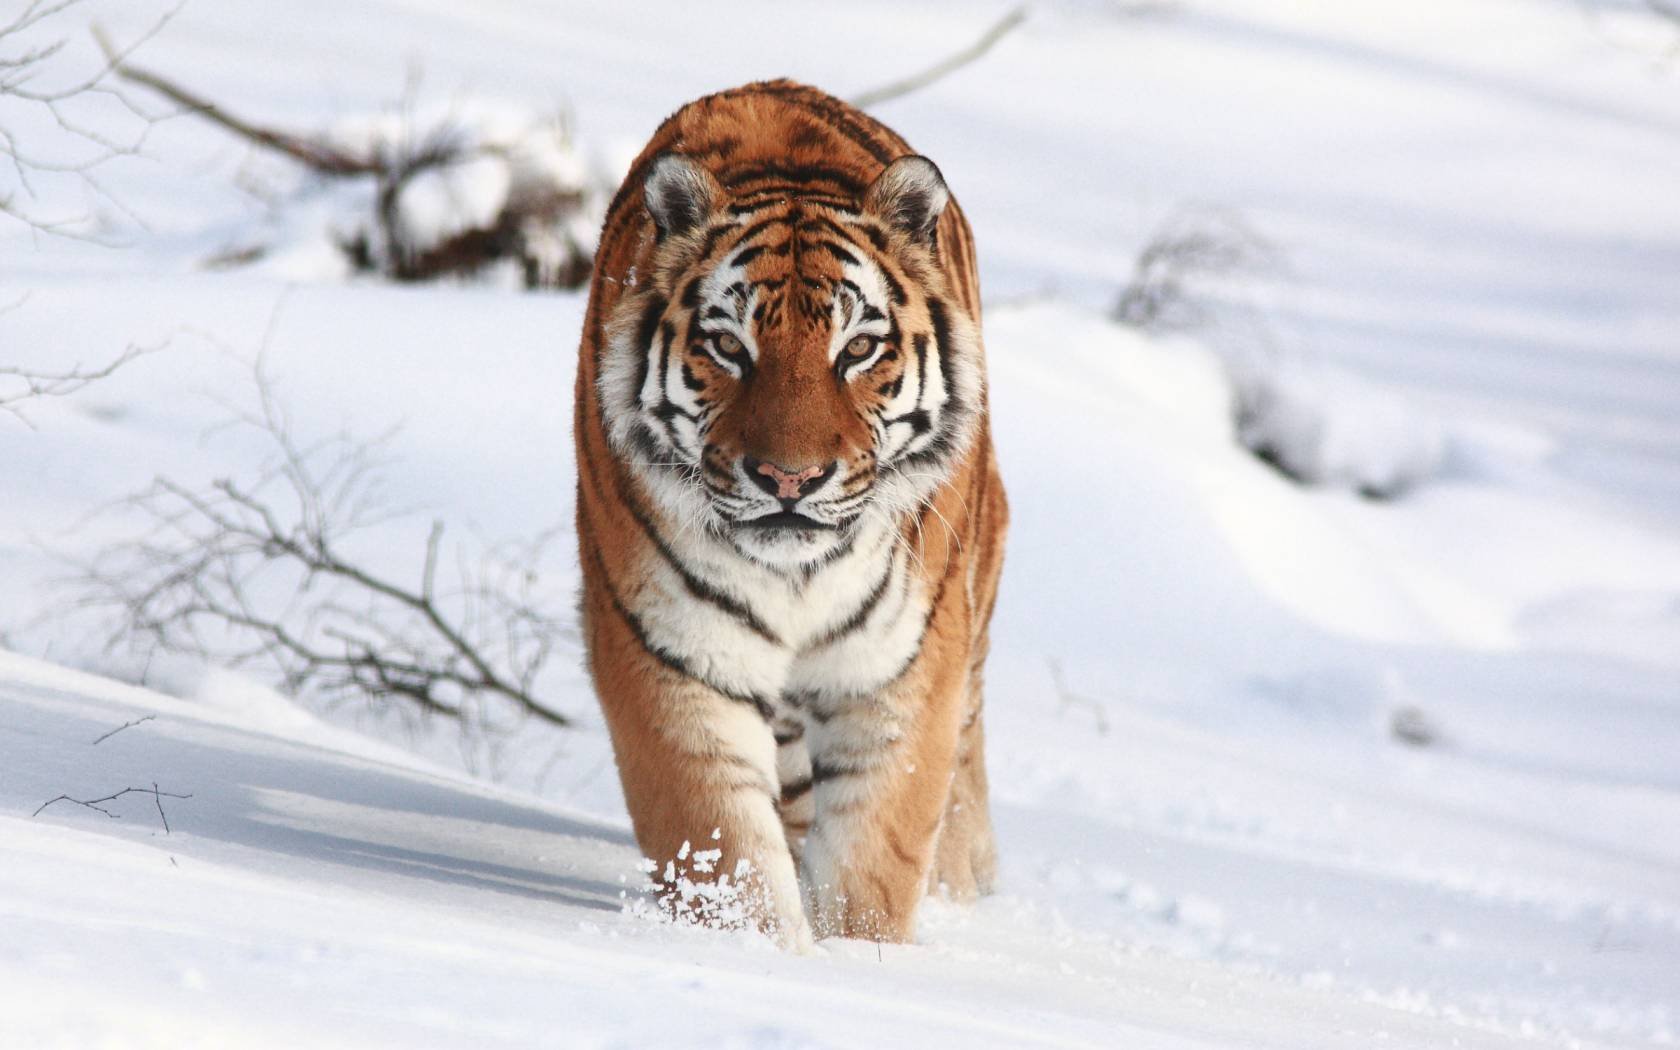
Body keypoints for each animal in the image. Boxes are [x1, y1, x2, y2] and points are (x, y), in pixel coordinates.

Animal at [573, 79, 1007, 947]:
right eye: (729, 348)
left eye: (858, 350)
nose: (789, 479)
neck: (801, 576)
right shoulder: (673, 659)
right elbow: (723, 849)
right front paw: (764, 955)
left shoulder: (900, 674)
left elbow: (874, 863)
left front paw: (857, 961)